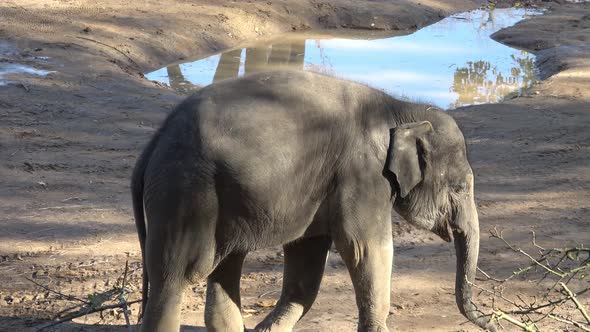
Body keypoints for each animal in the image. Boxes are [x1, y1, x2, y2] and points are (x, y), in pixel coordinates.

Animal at [132, 70, 498, 332]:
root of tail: (153, 143)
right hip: (188, 191)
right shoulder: (362, 175)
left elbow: (306, 262)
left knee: (225, 267)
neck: (399, 109)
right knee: (180, 274)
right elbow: (364, 248)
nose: (494, 321)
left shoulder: (323, 185)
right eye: (460, 188)